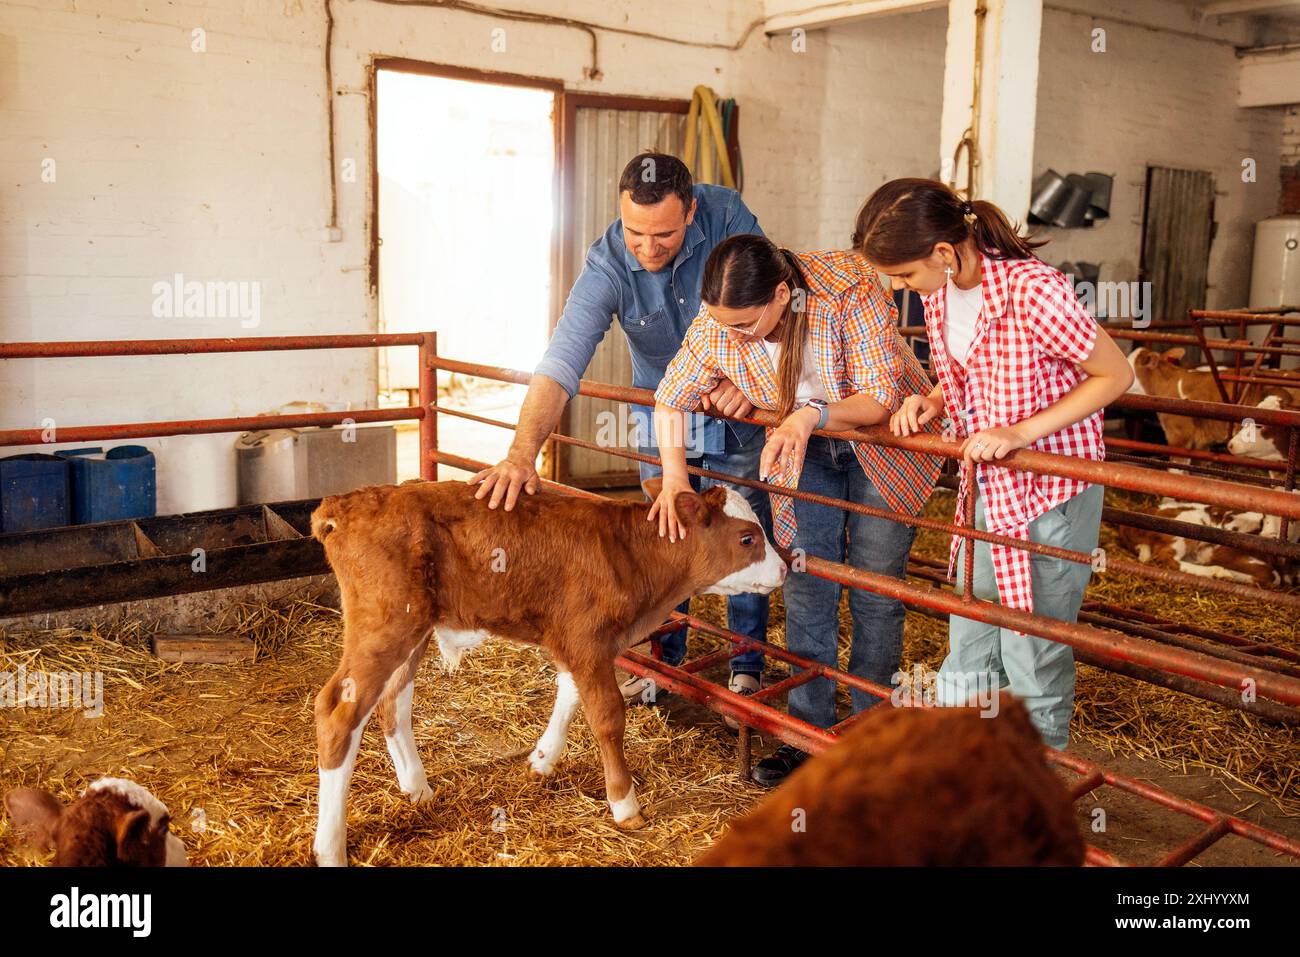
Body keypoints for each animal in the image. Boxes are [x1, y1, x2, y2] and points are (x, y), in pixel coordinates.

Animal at [309, 478, 785, 868]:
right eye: (747, 537)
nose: (783, 568)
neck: (631, 555)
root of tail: (343, 504)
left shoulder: (574, 643)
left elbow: (569, 694)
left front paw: (542, 760)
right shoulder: (588, 640)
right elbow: (607, 717)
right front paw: (624, 804)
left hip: (412, 630)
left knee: (392, 702)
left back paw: (416, 787)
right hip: (384, 627)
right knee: (338, 714)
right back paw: (330, 847)